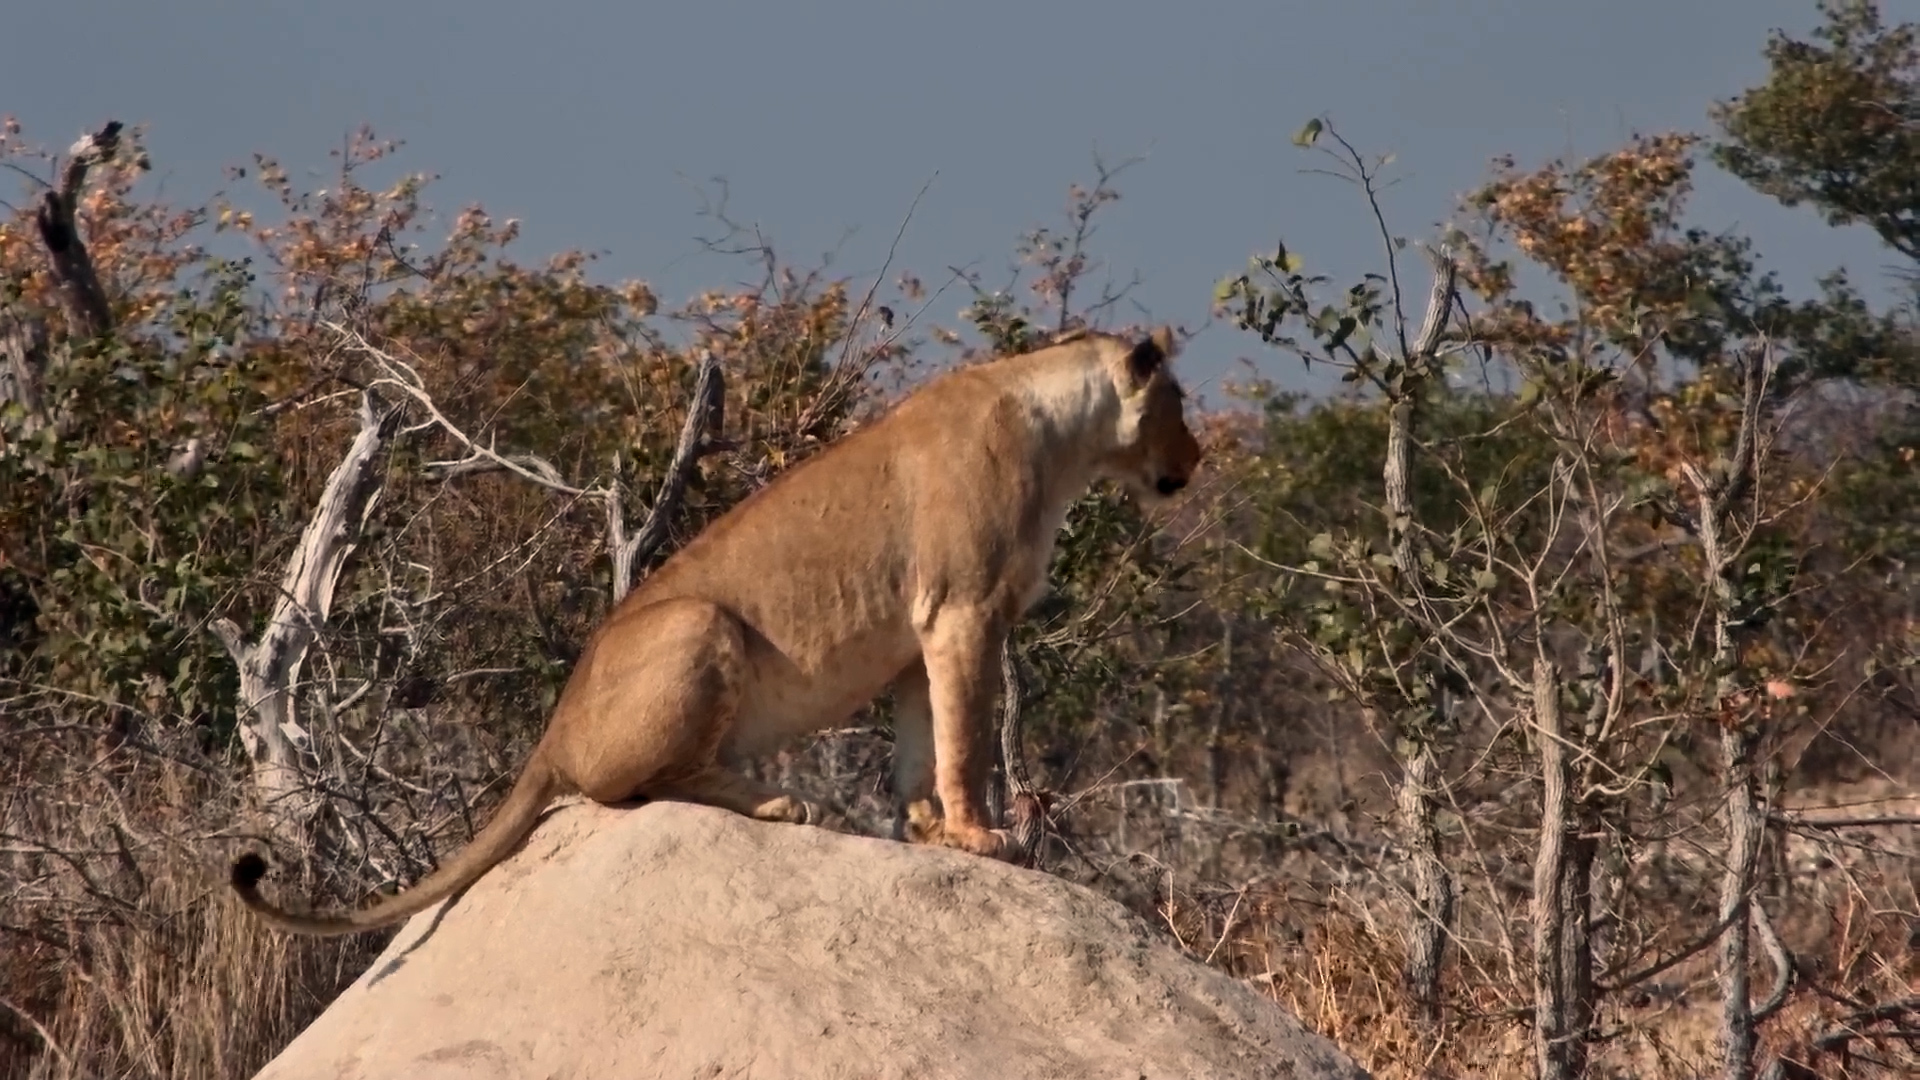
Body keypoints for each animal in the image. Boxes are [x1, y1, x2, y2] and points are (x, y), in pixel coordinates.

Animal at [231, 326, 1202, 935]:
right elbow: (966, 743)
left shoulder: (921, 638)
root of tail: (550, 729)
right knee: (648, 787)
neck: (1063, 434)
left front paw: (929, 831)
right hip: (702, 623)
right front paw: (980, 836)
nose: (1196, 461)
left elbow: (924, 744)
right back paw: (781, 801)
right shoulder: (963, 611)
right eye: (1180, 405)